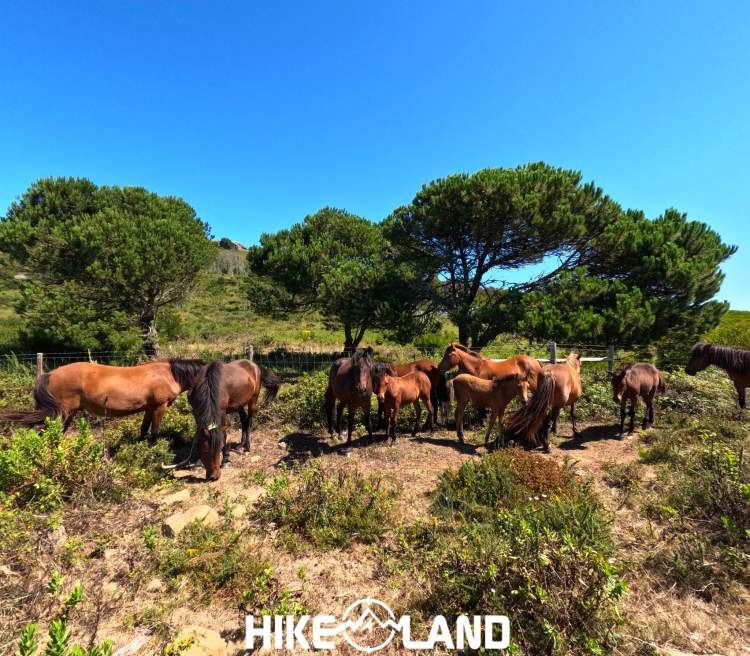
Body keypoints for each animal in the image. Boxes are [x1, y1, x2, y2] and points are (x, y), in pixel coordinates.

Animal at [0, 358, 206, 440]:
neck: (169, 374)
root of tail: (49, 375)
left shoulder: (149, 408)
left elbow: (143, 429)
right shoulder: (159, 407)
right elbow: (154, 432)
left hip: (67, 414)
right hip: (60, 414)